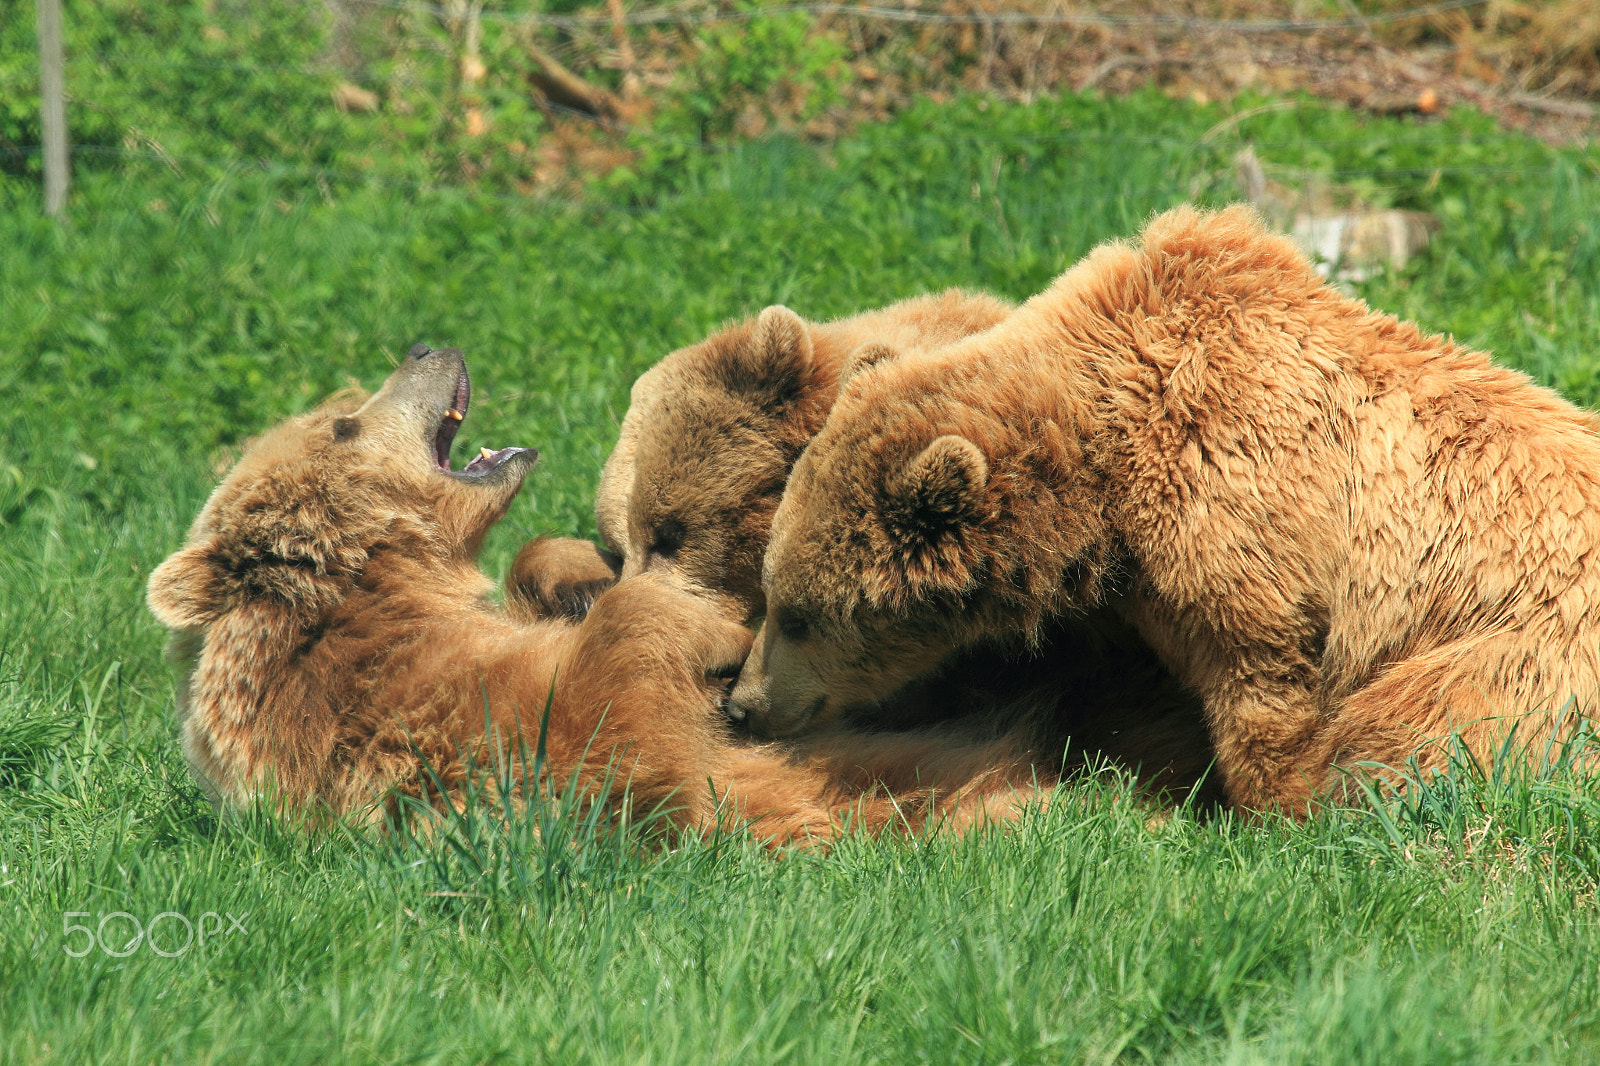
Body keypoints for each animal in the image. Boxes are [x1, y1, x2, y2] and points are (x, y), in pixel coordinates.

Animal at [147, 344, 1049, 845]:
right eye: (341, 424)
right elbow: (621, 693)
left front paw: (573, 581)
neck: (382, 598)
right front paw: (713, 631)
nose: (424, 347)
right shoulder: (446, 719)